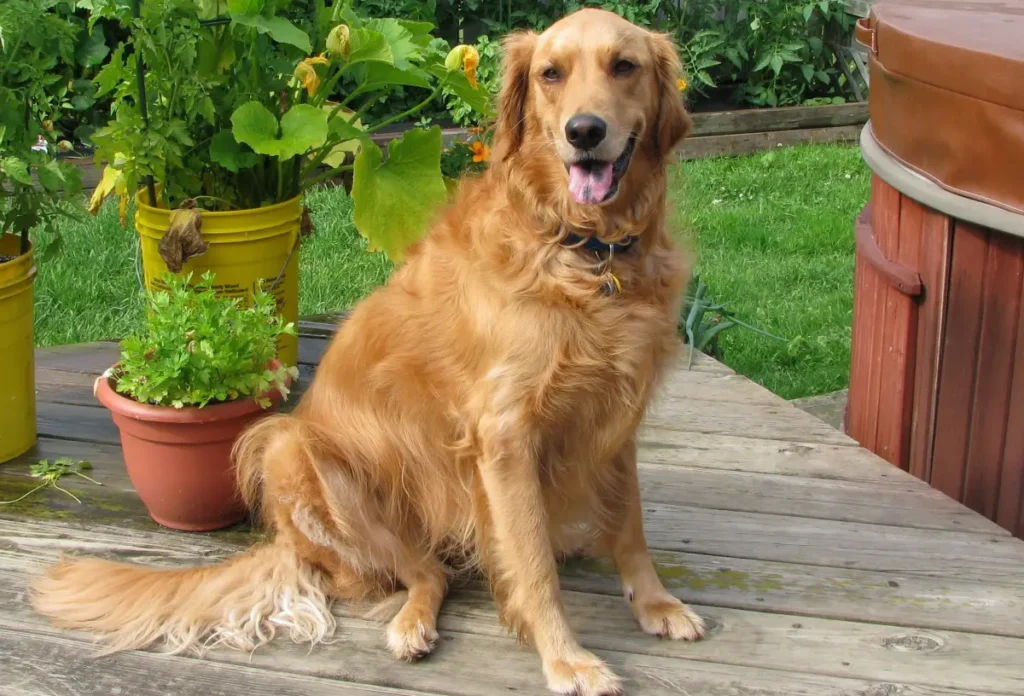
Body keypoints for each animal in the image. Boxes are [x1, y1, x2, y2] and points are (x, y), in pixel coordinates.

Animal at [32, 6, 704, 696]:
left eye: (624, 66)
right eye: (551, 73)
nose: (584, 131)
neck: (583, 250)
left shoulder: (616, 411)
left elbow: (631, 524)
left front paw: (655, 603)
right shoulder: (504, 435)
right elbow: (533, 563)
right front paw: (566, 657)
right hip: (293, 451)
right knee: (424, 574)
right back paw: (412, 626)